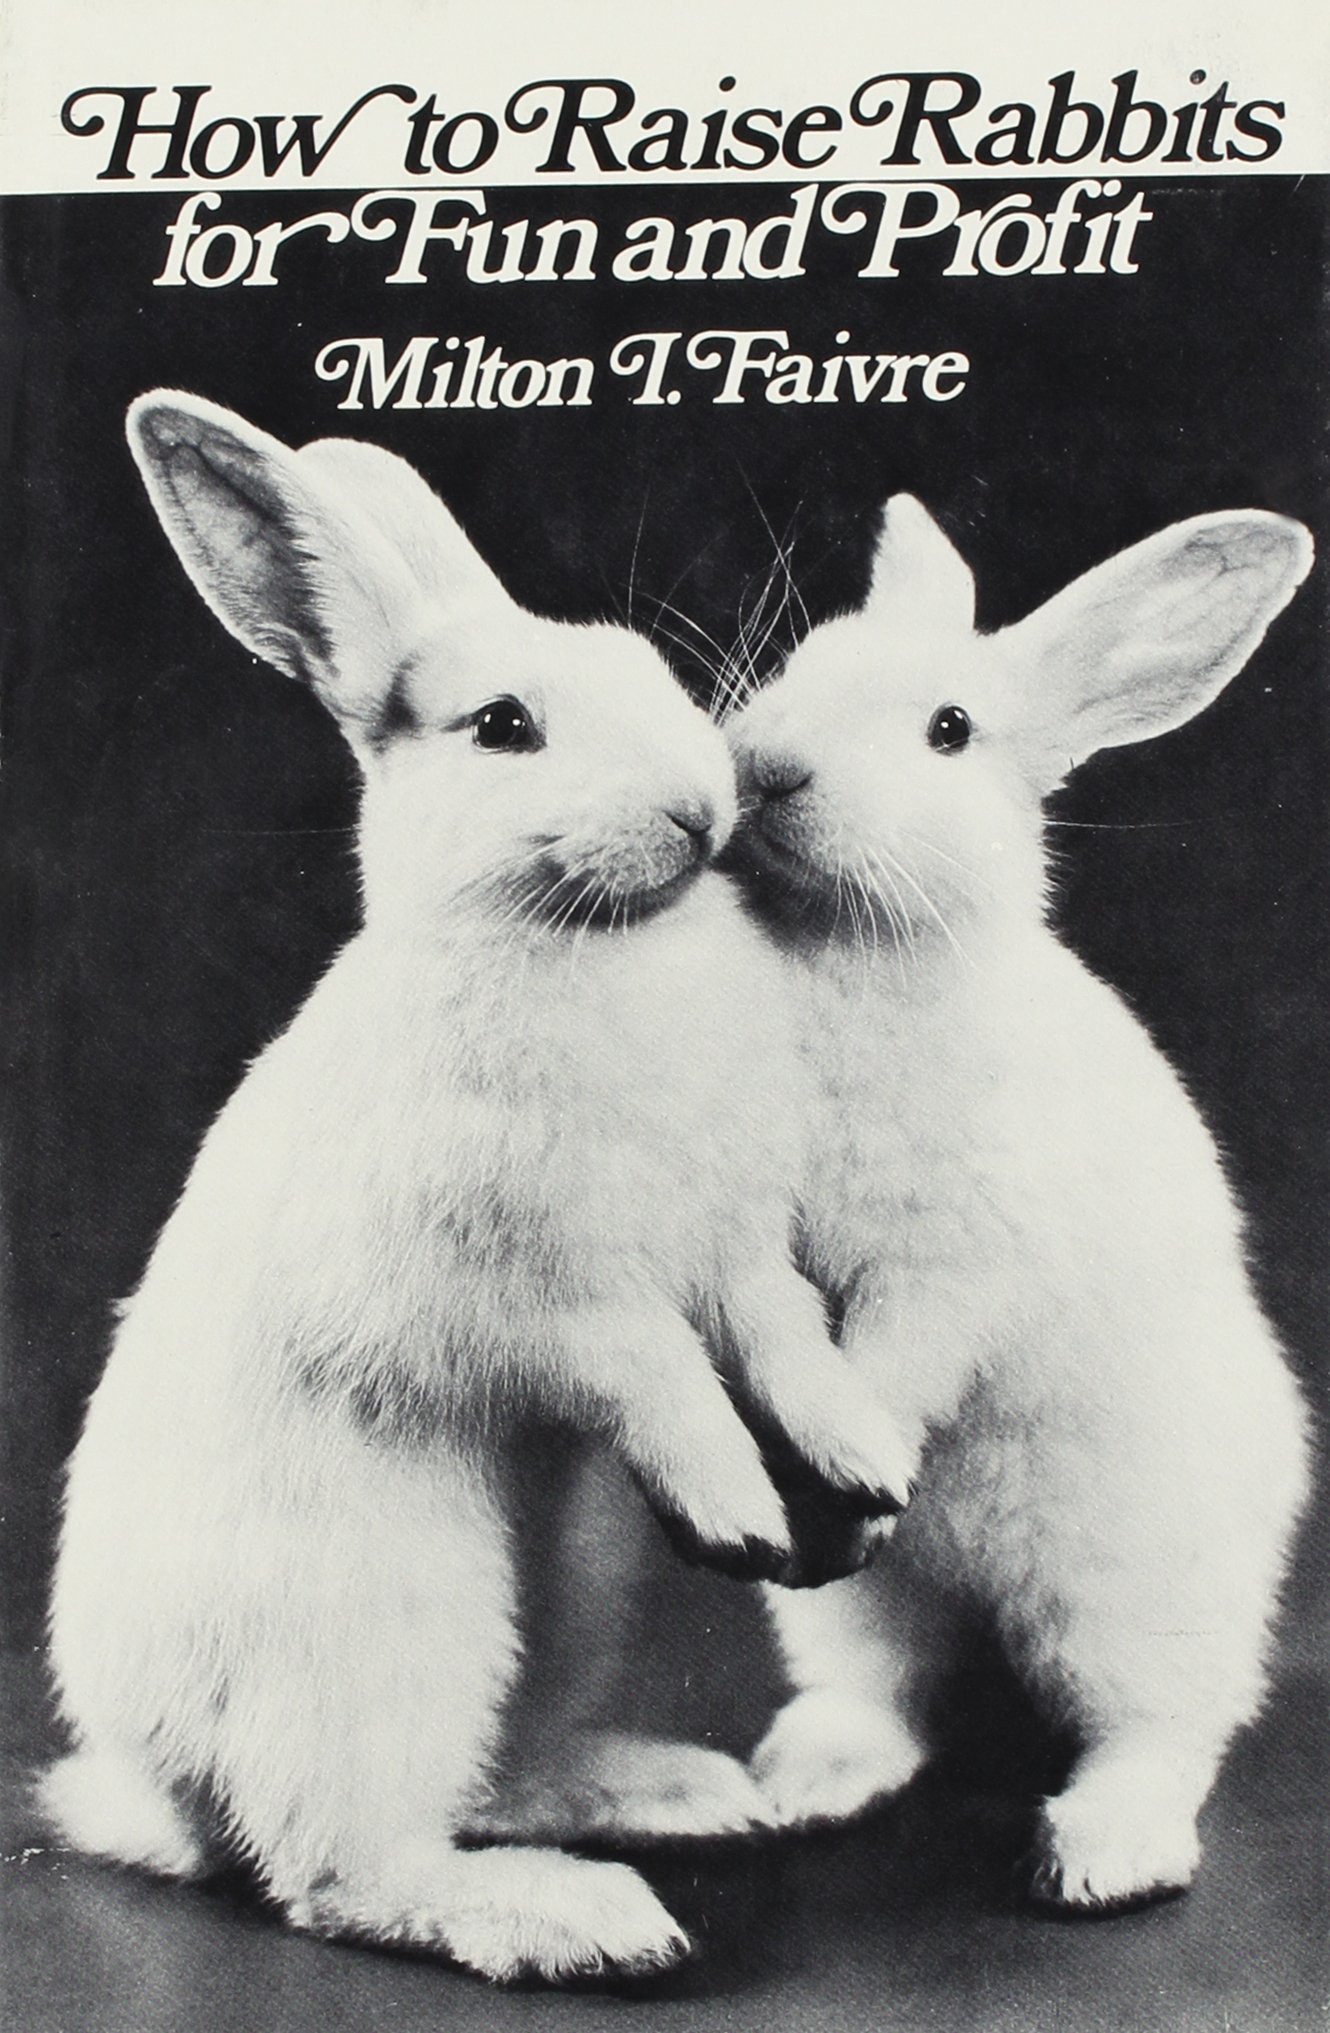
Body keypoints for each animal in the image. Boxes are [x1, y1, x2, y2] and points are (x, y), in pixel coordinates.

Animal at [39, 392, 915, 1984]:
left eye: (648, 670)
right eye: (504, 727)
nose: (700, 806)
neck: (592, 941)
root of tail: (155, 1785)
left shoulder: (736, 1254)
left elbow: (785, 1343)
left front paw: (862, 1456)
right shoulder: (528, 1294)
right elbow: (645, 1366)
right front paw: (739, 1511)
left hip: (563, 1603)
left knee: (487, 1779)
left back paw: (673, 1793)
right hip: (391, 1638)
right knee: (339, 1872)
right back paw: (580, 1921)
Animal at [721, 494, 1314, 1911]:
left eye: (950, 729)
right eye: (800, 665)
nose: (766, 766)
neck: (843, 949)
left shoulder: (957, 1262)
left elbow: (899, 1357)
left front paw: (869, 1450)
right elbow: (781, 1334)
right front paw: (829, 1458)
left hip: (1133, 1595)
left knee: (1165, 1726)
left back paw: (1104, 1856)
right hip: (851, 1614)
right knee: (882, 1687)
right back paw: (801, 1779)